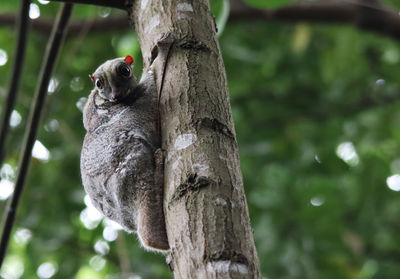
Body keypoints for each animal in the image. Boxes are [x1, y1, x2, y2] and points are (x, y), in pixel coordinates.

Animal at [80, 55, 170, 253]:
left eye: (124, 71)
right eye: (99, 83)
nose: (115, 94)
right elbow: (150, 97)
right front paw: (157, 59)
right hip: (125, 176)